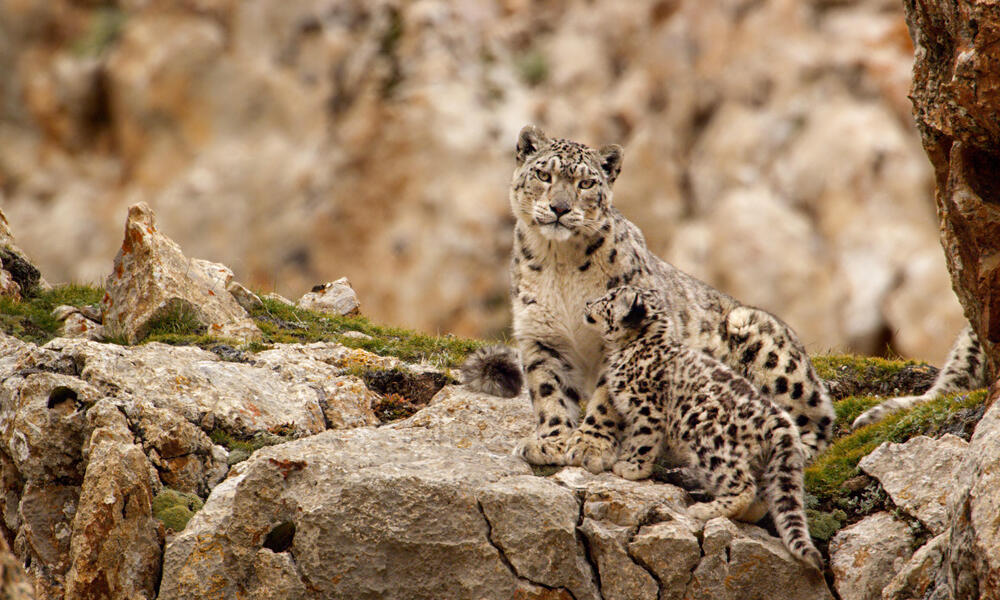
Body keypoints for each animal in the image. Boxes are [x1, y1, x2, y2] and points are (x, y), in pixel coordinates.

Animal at [466, 125, 836, 468]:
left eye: (585, 184)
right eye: (544, 175)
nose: (559, 207)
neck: (560, 263)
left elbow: (606, 398)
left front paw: (590, 446)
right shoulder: (542, 337)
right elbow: (549, 392)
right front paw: (552, 441)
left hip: (764, 344)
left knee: (816, 414)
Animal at [584, 286, 820, 572]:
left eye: (607, 299)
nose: (587, 302)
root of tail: (778, 418)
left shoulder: (647, 409)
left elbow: (641, 440)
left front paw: (630, 468)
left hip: (709, 443)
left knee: (743, 485)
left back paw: (705, 510)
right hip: (764, 462)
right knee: (764, 493)